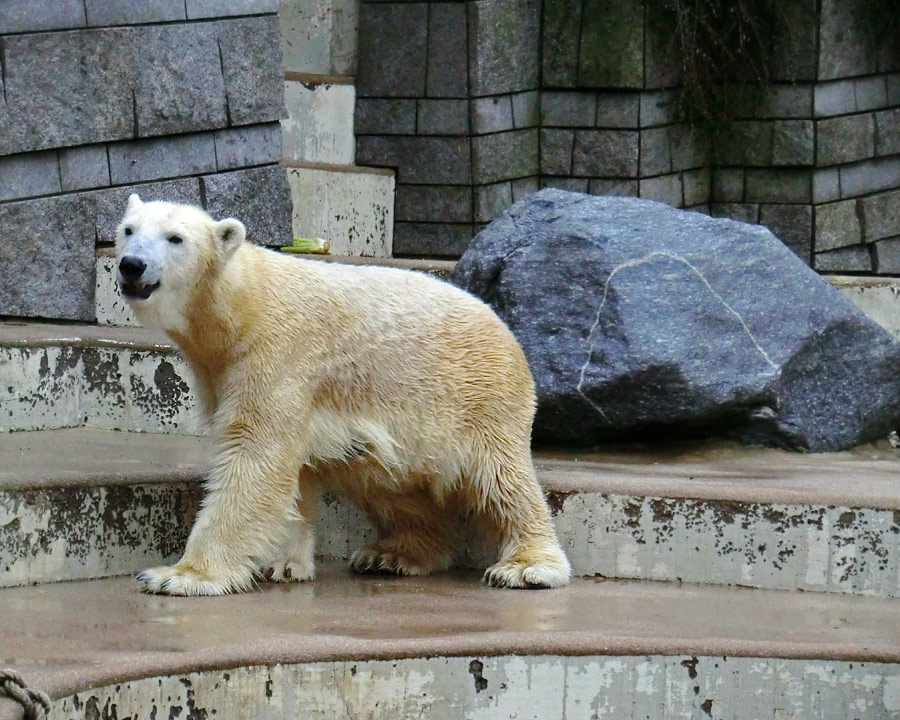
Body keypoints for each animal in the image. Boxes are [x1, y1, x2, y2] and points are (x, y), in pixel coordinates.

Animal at [114, 194, 568, 592]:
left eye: (175, 238)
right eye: (128, 230)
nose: (131, 265)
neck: (241, 306)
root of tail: (503, 326)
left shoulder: (277, 354)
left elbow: (254, 456)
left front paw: (180, 575)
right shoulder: (221, 370)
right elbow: (292, 472)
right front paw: (284, 563)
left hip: (478, 396)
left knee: (500, 480)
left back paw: (527, 566)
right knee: (383, 478)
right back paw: (395, 553)